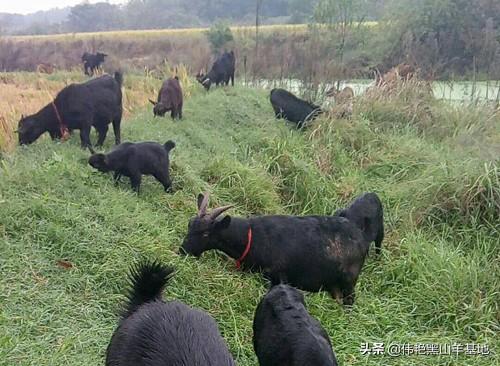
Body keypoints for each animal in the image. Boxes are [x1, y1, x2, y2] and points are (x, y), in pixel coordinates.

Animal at [180, 192, 372, 306]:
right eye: (189, 223)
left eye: (206, 233)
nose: (183, 250)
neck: (251, 237)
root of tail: (362, 238)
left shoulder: (278, 278)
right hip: (334, 287)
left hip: (349, 283)